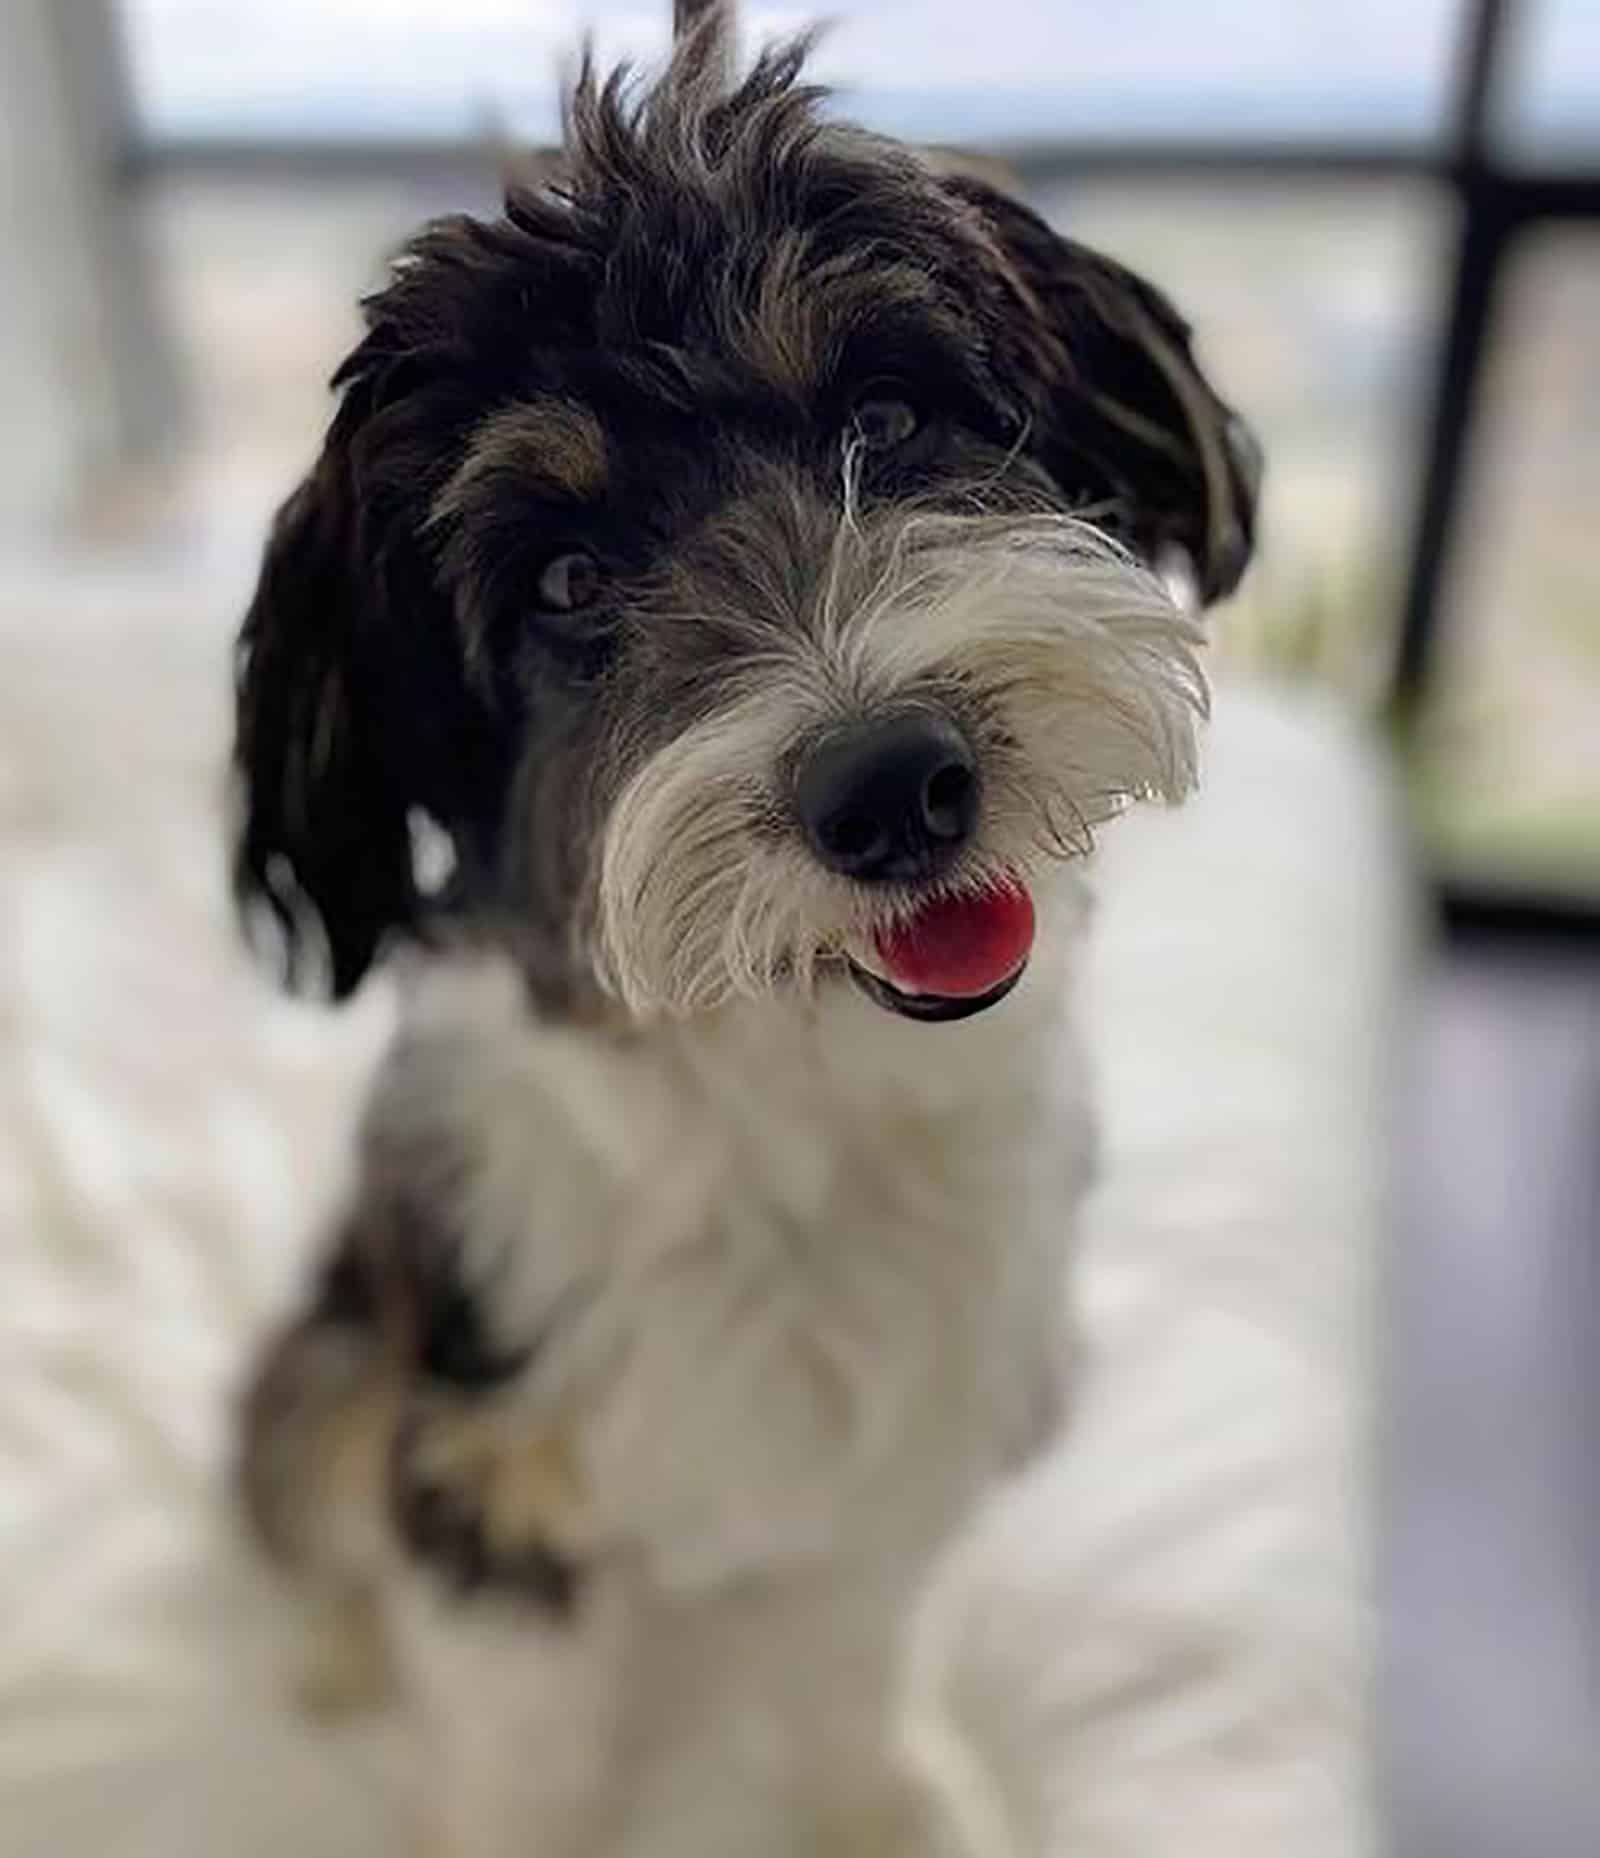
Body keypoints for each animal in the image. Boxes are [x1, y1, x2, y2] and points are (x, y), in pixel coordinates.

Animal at [236, 25, 1263, 1858]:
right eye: (566, 579)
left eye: (889, 412)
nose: (894, 785)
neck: (796, 1097)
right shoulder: (495, 1463)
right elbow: (519, 1744)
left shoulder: (913, 1437)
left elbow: (853, 1659)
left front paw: (888, 1804)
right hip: (345, 1341)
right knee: (312, 1473)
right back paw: (336, 1657)